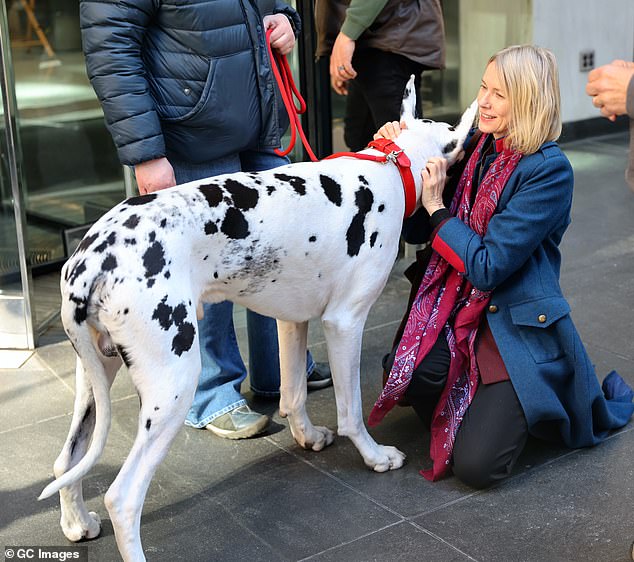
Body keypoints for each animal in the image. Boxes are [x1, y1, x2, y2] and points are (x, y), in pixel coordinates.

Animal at [38, 79, 474, 560]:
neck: (391, 169)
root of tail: (91, 257)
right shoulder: (344, 323)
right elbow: (352, 411)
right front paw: (374, 456)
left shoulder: (292, 321)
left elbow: (293, 393)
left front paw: (307, 436)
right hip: (173, 384)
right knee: (123, 496)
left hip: (96, 374)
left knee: (67, 461)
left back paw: (77, 523)